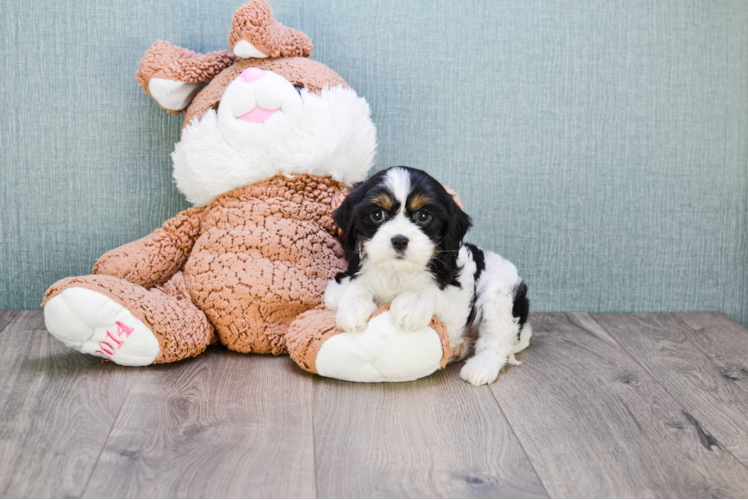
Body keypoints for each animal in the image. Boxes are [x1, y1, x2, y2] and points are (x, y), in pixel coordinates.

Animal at [322, 166, 532, 384]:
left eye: (423, 216)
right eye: (377, 214)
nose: (399, 240)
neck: (398, 271)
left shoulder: (457, 299)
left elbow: (427, 290)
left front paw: (409, 305)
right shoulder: (338, 284)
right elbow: (356, 286)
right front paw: (352, 311)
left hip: (500, 292)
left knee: (496, 338)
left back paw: (480, 367)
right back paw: (460, 347)